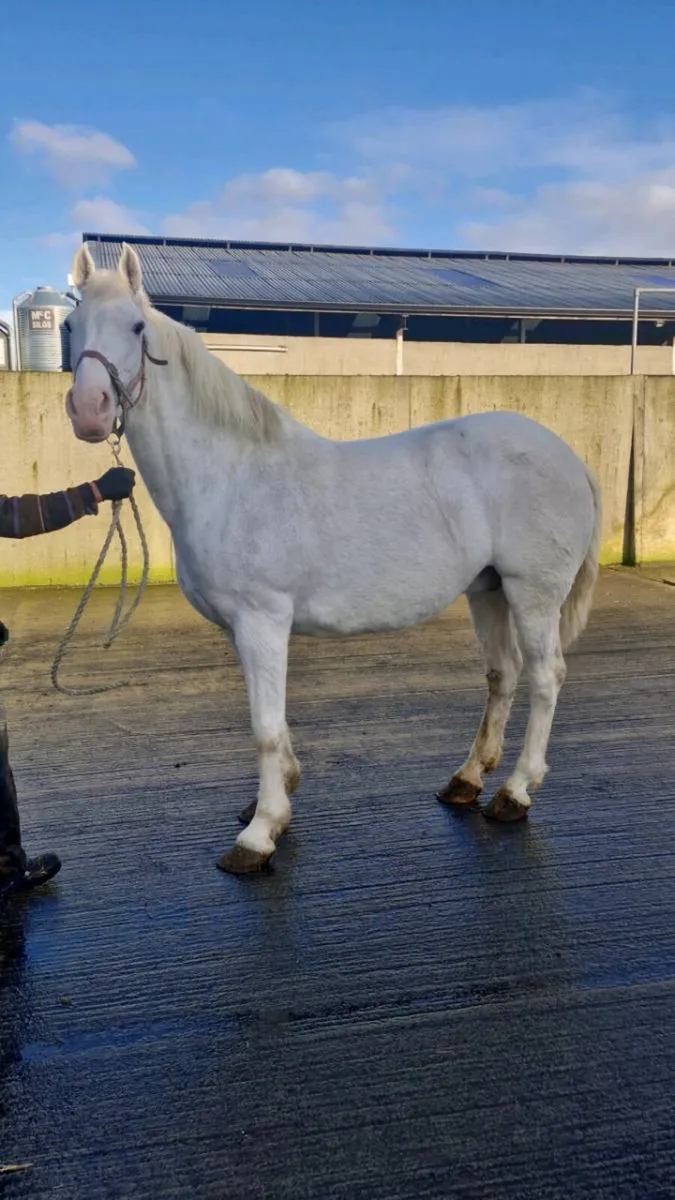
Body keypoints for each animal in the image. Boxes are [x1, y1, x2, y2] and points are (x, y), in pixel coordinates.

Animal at [64, 243, 601, 876]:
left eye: (137, 327)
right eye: (71, 326)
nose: (90, 410)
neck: (229, 475)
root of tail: (568, 455)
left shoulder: (263, 620)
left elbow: (265, 727)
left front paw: (259, 835)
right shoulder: (240, 628)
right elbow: (273, 721)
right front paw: (276, 800)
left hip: (532, 592)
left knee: (545, 677)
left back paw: (515, 793)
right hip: (488, 590)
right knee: (504, 675)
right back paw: (466, 781)